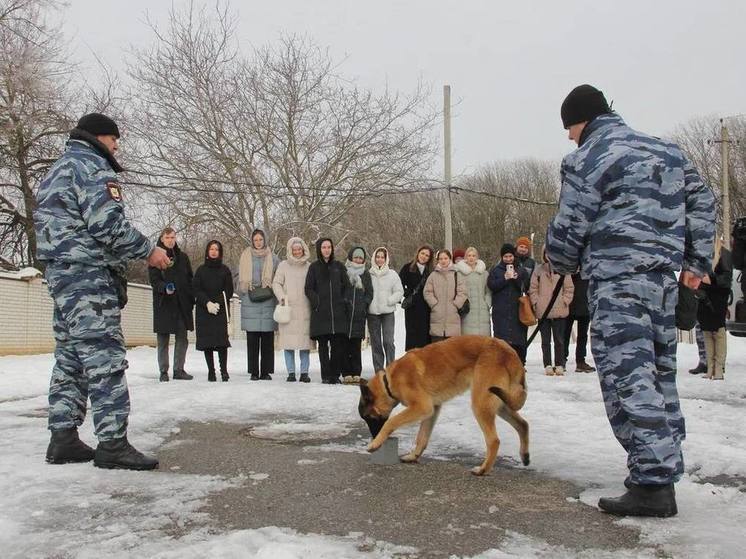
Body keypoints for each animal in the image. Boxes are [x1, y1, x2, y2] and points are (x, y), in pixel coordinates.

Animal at [356, 336, 528, 476]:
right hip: (500, 404)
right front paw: (413, 456)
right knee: (523, 424)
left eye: (369, 418)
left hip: (481, 404)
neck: (388, 382)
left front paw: (375, 444)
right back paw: (525, 456)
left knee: (494, 440)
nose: (374, 435)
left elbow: (392, 422)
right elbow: (422, 436)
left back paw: (483, 469)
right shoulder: (431, 410)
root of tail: (510, 353)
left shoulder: (422, 407)